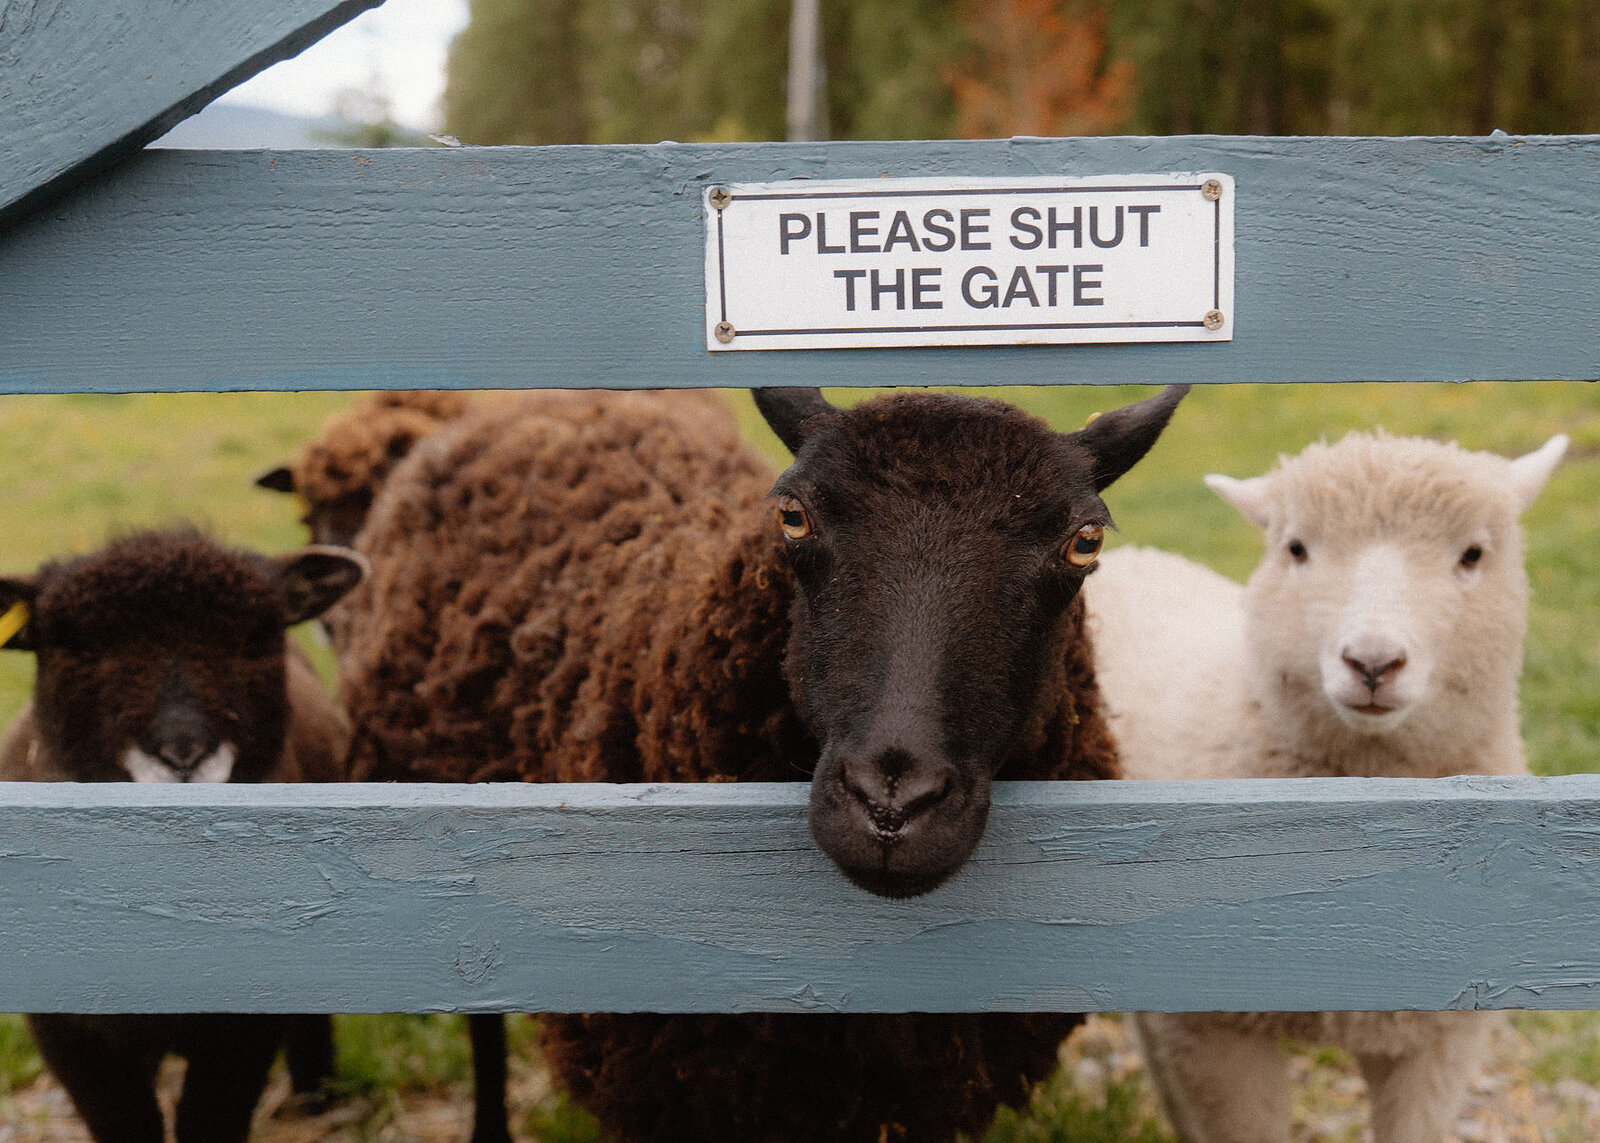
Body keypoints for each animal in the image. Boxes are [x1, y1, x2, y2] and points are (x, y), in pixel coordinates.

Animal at [0, 529, 368, 1143]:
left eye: (255, 640)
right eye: (80, 647)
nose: (183, 755)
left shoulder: (245, 1025)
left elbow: (210, 1119)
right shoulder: (65, 1027)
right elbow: (124, 1121)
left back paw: (317, 1098)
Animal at [1082, 429, 1569, 1143]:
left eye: (1474, 554)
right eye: (1296, 549)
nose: (1373, 663)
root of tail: (1133, 558)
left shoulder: (1440, 1032)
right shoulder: (1216, 1028)